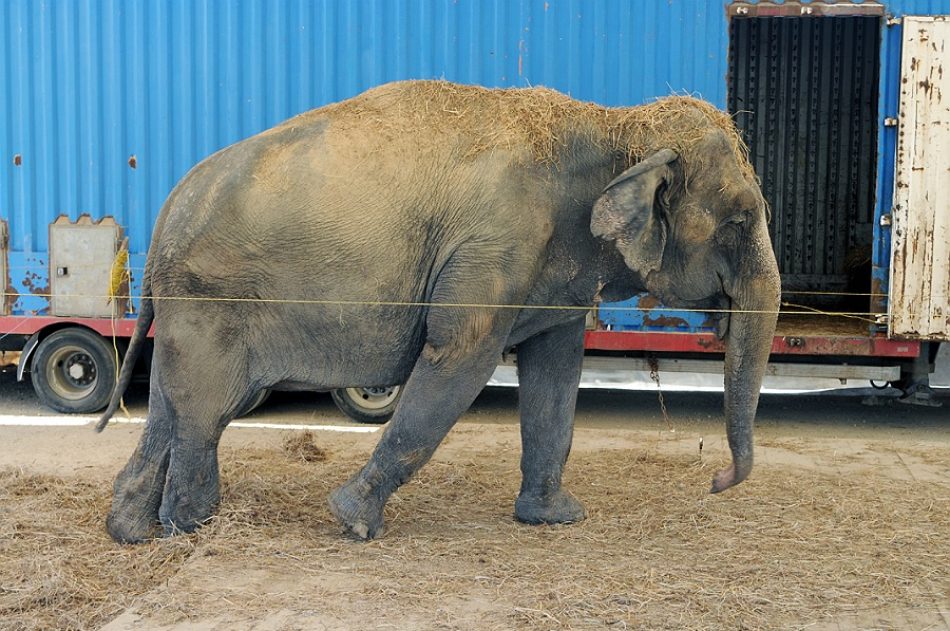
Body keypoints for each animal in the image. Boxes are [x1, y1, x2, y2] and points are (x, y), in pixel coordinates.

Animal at [96, 79, 780, 544]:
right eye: (740, 220)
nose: (714, 481)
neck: (619, 129)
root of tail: (165, 214)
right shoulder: (494, 247)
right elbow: (460, 359)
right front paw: (351, 521)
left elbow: (557, 372)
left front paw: (556, 519)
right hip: (213, 301)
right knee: (207, 411)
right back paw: (191, 525)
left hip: (188, 308)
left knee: (171, 404)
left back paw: (131, 529)